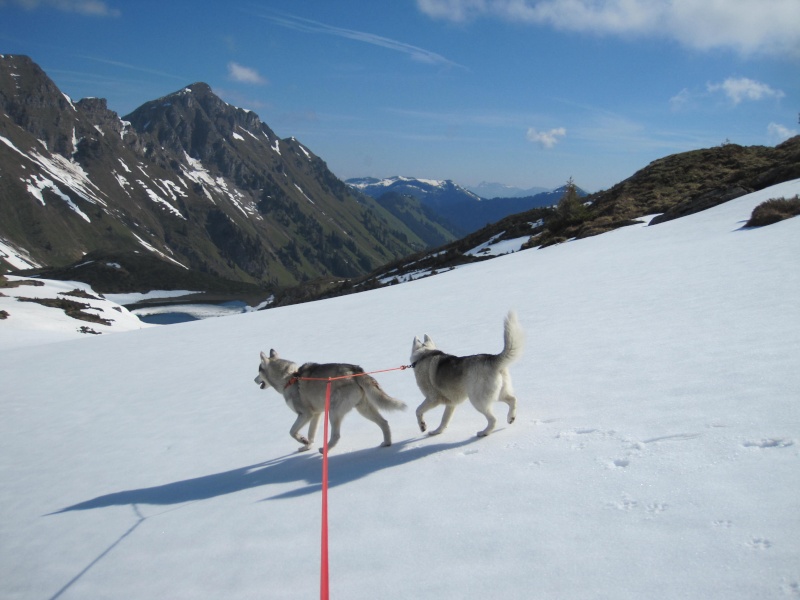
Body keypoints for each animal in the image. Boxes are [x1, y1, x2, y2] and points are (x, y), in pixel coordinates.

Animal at [255, 350, 406, 452]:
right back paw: (386, 443)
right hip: (363, 408)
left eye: (258, 370)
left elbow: (292, 432)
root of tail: (355, 370)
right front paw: (306, 446)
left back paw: (325, 450)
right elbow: (311, 434)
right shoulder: (316, 415)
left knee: (336, 435)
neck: (290, 377)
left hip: (333, 411)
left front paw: (302, 440)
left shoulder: (305, 414)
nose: (254, 380)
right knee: (384, 423)